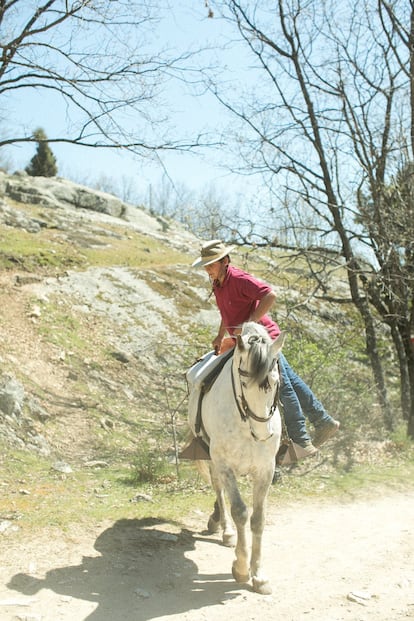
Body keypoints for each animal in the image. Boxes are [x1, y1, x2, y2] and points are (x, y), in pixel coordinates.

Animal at [187, 322, 284, 592]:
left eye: (276, 380)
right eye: (243, 381)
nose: (263, 433)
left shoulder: (265, 469)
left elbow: (259, 518)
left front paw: (259, 575)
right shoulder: (225, 465)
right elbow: (240, 511)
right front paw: (241, 569)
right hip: (213, 461)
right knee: (219, 491)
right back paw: (226, 530)